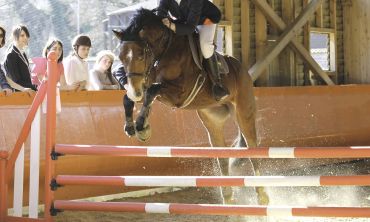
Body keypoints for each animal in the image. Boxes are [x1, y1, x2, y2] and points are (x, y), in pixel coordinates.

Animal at [113, 8, 268, 206]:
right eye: (121, 57)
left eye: (140, 54)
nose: (135, 92)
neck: (164, 52)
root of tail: (242, 69)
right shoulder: (144, 85)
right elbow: (131, 98)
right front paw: (133, 127)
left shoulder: (179, 93)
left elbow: (151, 92)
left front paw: (141, 126)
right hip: (212, 120)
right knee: (222, 156)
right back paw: (228, 198)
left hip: (243, 112)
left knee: (252, 149)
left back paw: (262, 196)